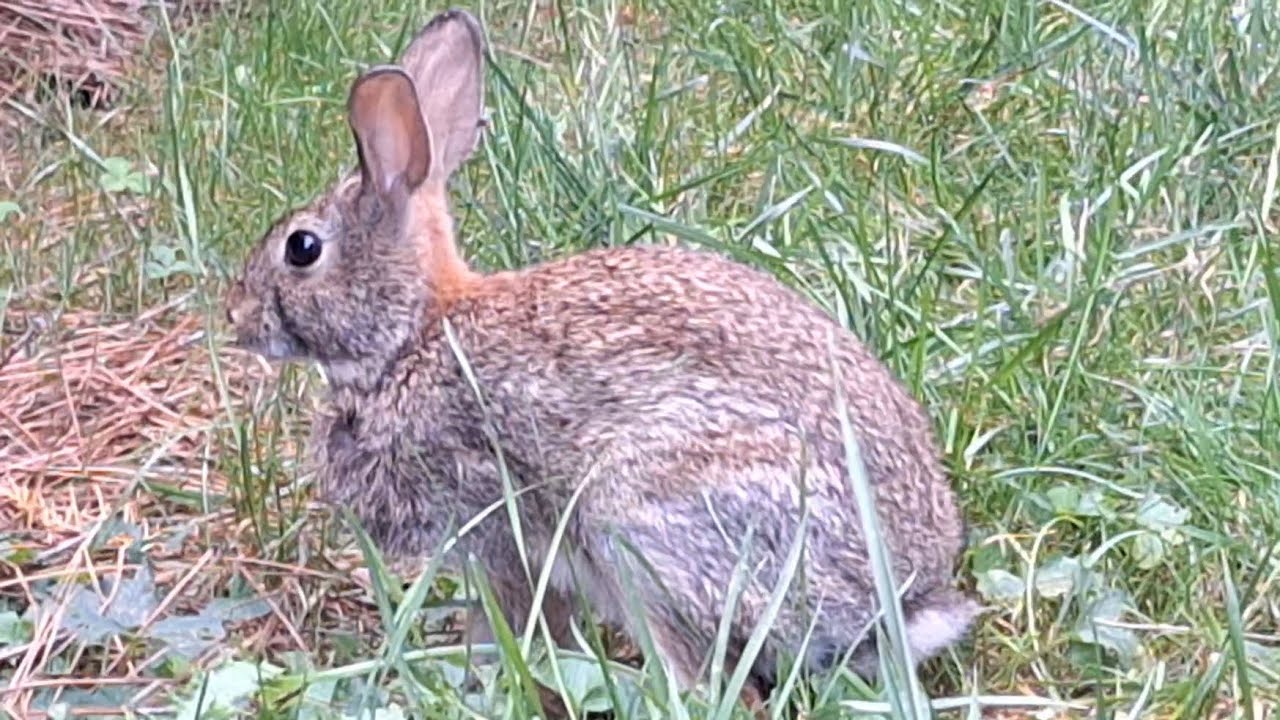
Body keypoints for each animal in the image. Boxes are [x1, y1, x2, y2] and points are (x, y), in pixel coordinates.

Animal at [223, 6, 981, 712]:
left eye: (301, 248)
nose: (236, 316)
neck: (414, 334)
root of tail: (903, 602)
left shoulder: (496, 531)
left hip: (640, 524)